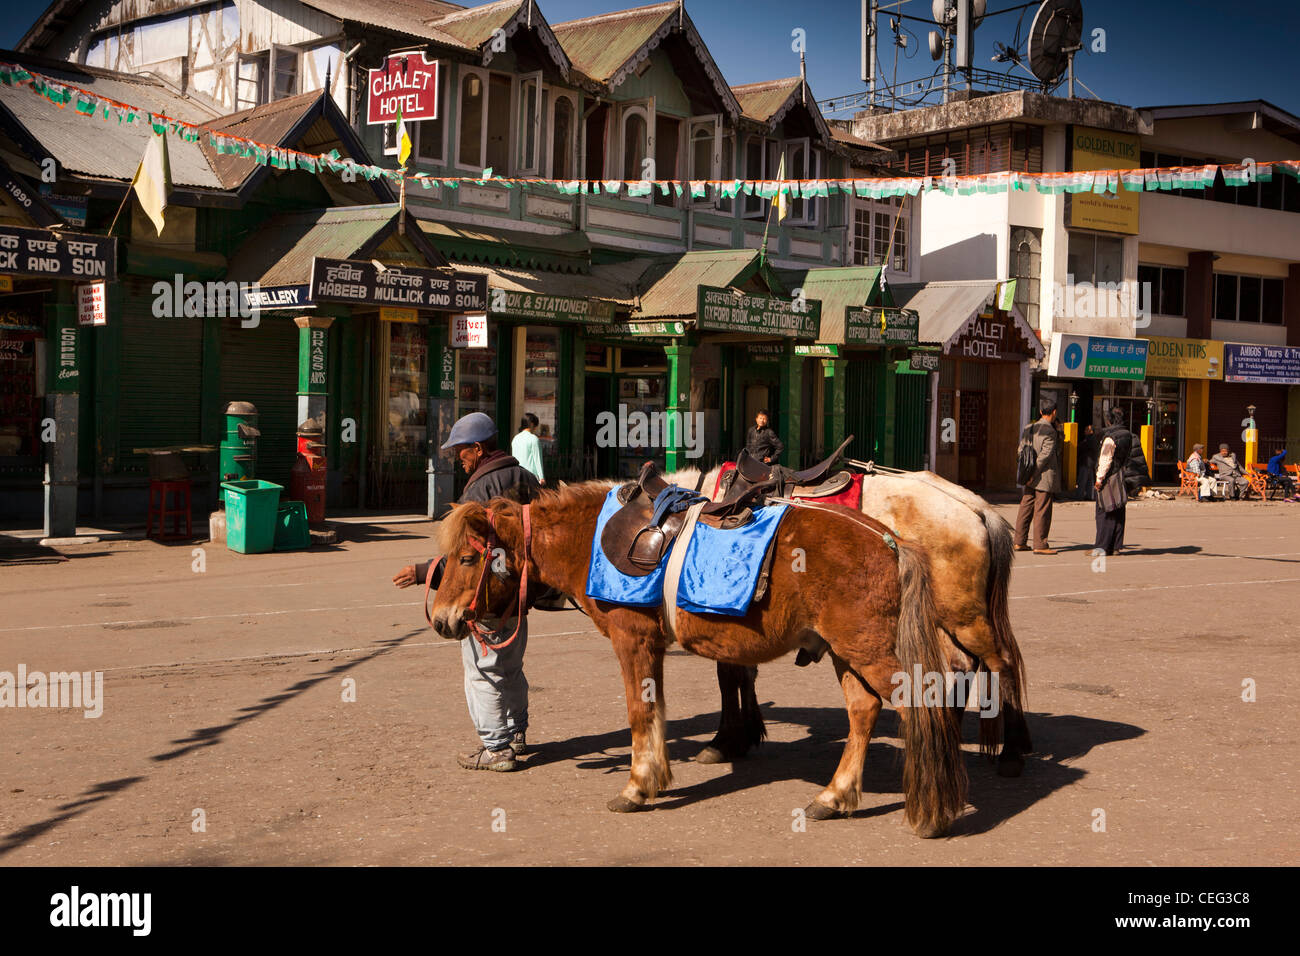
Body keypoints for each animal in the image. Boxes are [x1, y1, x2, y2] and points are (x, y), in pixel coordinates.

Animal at [426, 486, 967, 837]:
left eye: (469, 559)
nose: (440, 619)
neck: (593, 537)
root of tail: (890, 542)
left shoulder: (633, 639)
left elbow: (640, 713)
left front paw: (637, 787)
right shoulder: (651, 646)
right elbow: (655, 713)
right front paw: (657, 775)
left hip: (869, 652)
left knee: (926, 705)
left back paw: (935, 810)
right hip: (846, 651)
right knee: (863, 713)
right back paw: (833, 797)